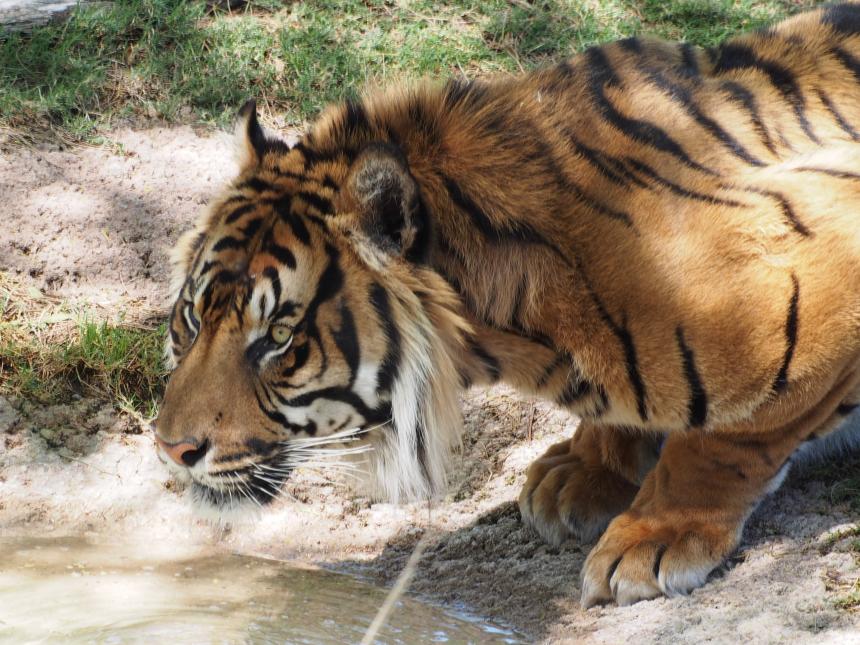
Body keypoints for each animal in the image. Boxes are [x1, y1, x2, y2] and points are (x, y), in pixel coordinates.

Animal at [155, 2, 860, 608]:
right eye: (192, 318)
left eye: (277, 336)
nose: (170, 451)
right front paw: (581, 470)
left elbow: (726, 439)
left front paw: (650, 539)